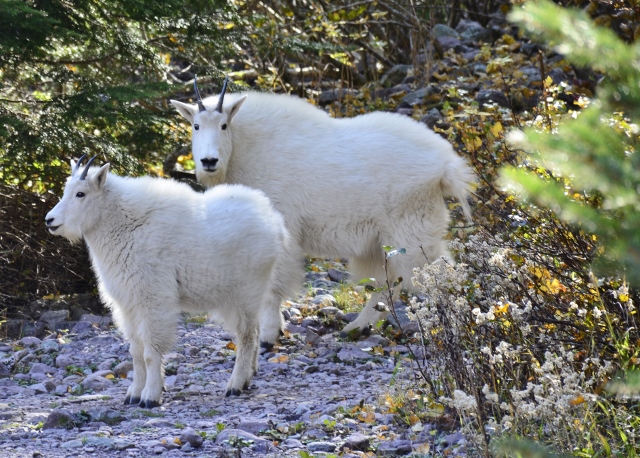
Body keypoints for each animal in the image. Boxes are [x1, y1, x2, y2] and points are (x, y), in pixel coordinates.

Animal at [47, 156, 290, 406]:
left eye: (80, 193)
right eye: (66, 190)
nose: (50, 220)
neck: (123, 226)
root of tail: (275, 222)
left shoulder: (153, 298)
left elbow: (150, 352)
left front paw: (150, 396)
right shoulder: (128, 304)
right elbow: (135, 351)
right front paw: (133, 394)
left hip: (244, 292)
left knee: (247, 336)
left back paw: (236, 384)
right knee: (255, 331)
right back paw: (250, 376)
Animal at [170, 78, 476, 336]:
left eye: (223, 125)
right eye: (196, 126)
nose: (209, 161)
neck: (245, 149)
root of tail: (446, 167)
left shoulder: (282, 226)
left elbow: (272, 285)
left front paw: (269, 335)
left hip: (410, 230)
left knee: (434, 275)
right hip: (386, 242)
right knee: (392, 282)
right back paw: (357, 328)